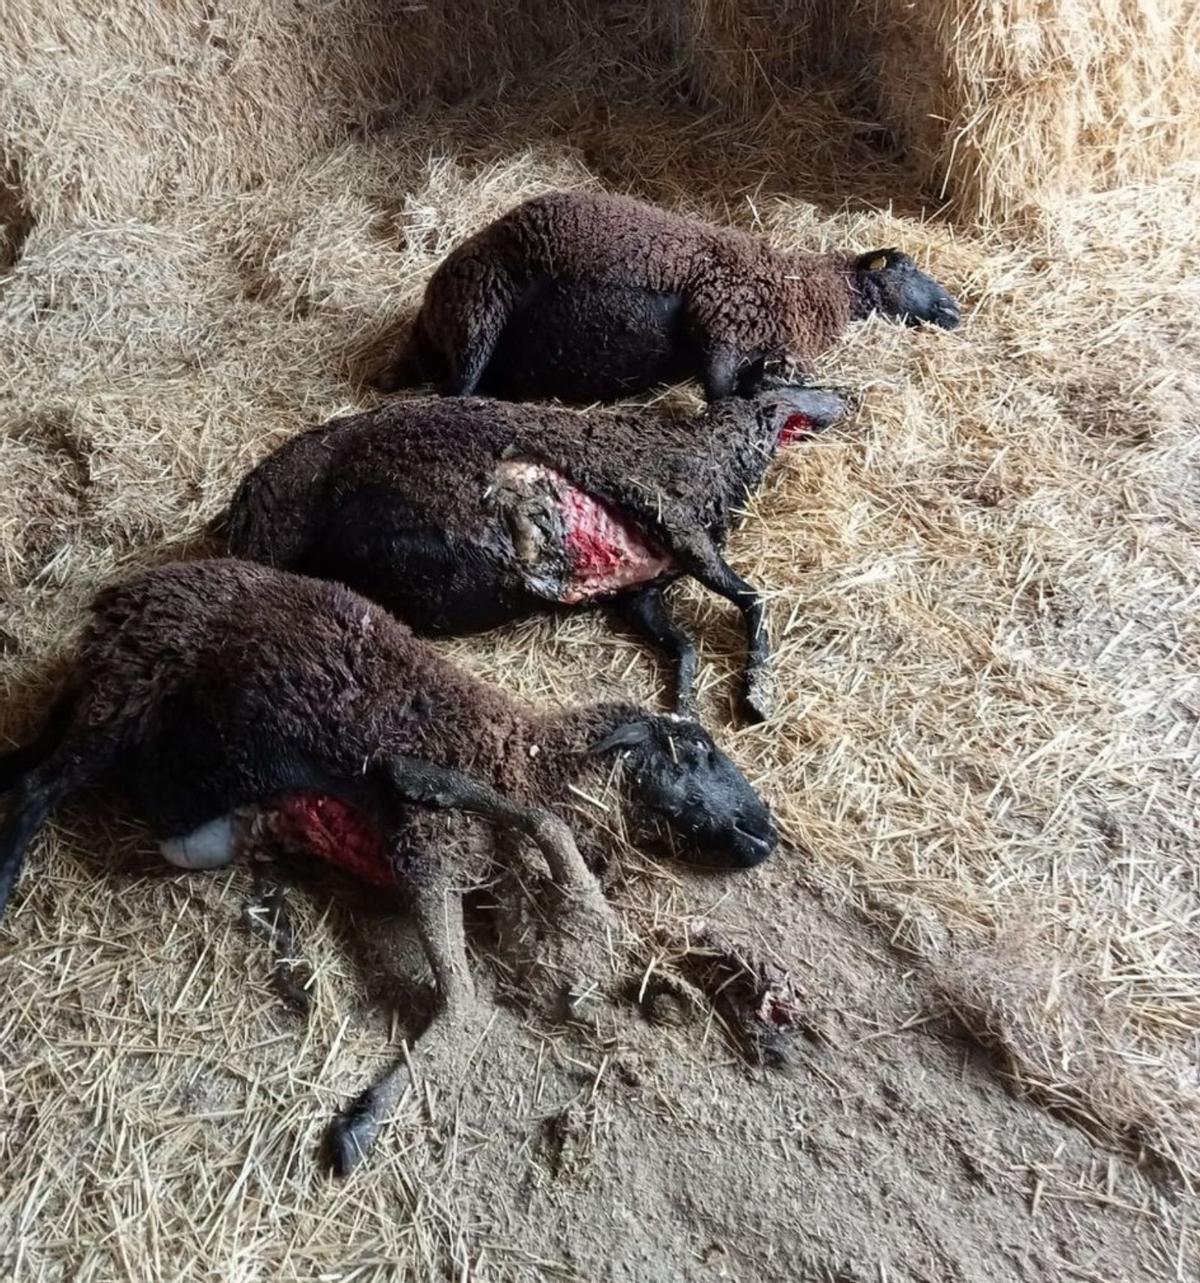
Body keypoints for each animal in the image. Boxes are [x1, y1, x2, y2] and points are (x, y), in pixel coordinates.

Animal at [0, 559, 780, 1175]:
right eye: (697, 751)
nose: (767, 834)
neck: (523, 755)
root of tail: (125, 592)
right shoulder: (428, 852)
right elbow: (465, 1000)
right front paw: (363, 1123)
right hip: (128, 691)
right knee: (36, 789)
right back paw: (8, 881)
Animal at [220, 379, 847, 723]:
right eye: (790, 378)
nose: (846, 397)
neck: (714, 454)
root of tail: (248, 504)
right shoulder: (680, 528)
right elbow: (754, 600)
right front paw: (757, 695)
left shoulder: (642, 592)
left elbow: (686, 647)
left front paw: (685, 712)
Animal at [379, 186, 960, 400]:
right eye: (903, 267)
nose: (955, 308)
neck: (805, 287)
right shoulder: (722, 322)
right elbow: (723, 391)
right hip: (478, 317)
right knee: (456, 391)